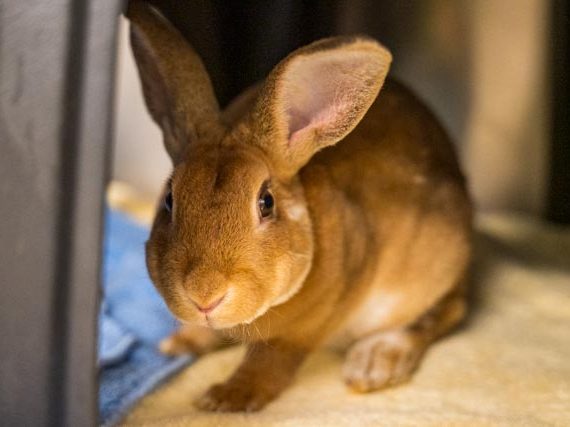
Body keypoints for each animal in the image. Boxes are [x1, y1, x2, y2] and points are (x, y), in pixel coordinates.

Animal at [127, 0, 470, 414]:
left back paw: (374, 364)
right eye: (169, 199)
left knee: (444, 314)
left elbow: (272, 359)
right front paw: (180, 345)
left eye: (266, 202)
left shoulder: (306, 326)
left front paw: (225, 398)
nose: (204, 295)